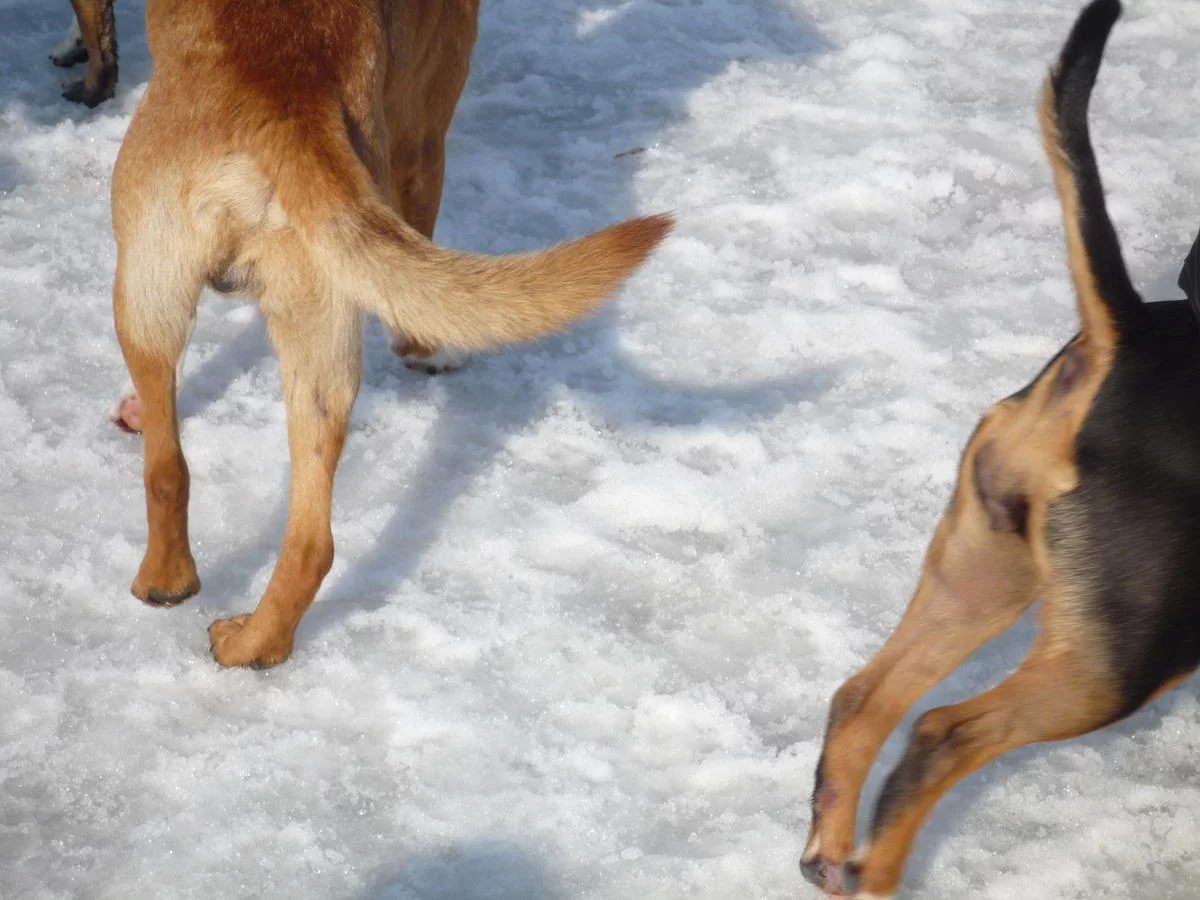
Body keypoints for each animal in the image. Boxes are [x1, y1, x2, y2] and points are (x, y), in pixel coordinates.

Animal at [111, 0, 672, 668]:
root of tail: (283, 100)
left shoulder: (422, 136)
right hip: (248, 322)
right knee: (263, 516)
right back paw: (229, 624)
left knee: (217, 488)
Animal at [799, 1, 1200, 896]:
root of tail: (1123, 338)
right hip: (1122, 655)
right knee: (941, 733)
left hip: (979, 572)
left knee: (862, 700)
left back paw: (836, 860)